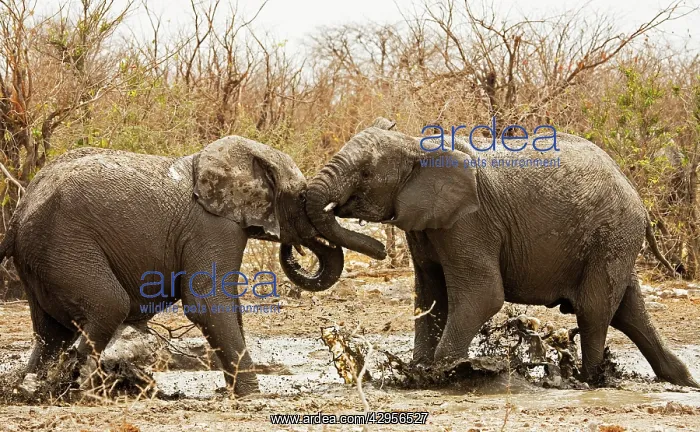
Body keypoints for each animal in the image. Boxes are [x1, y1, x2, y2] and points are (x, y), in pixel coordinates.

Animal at [0, 136, 343, 396]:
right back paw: (78, 390)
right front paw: (253, 396)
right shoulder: (212, 227)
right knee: (109, 305)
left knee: (52, 334)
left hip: (43, 259)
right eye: (301, 197)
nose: (294, 247)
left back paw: (31, 389)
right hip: (64, 245)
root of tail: (17, 216)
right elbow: (207, 303)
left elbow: (229, 307)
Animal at [304, 117, 698, 388]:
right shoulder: (428, 223)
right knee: (628, 313)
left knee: (595, 310)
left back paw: (588, 380)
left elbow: (482, 296)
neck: (417, 144)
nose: (380, 249)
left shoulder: (470, 222)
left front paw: (444, 375)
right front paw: (418, 372)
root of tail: (637, 197)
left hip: (611, 235)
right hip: (615, 241)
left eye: (365, 173)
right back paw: (681, 381)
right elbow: (430, 297)